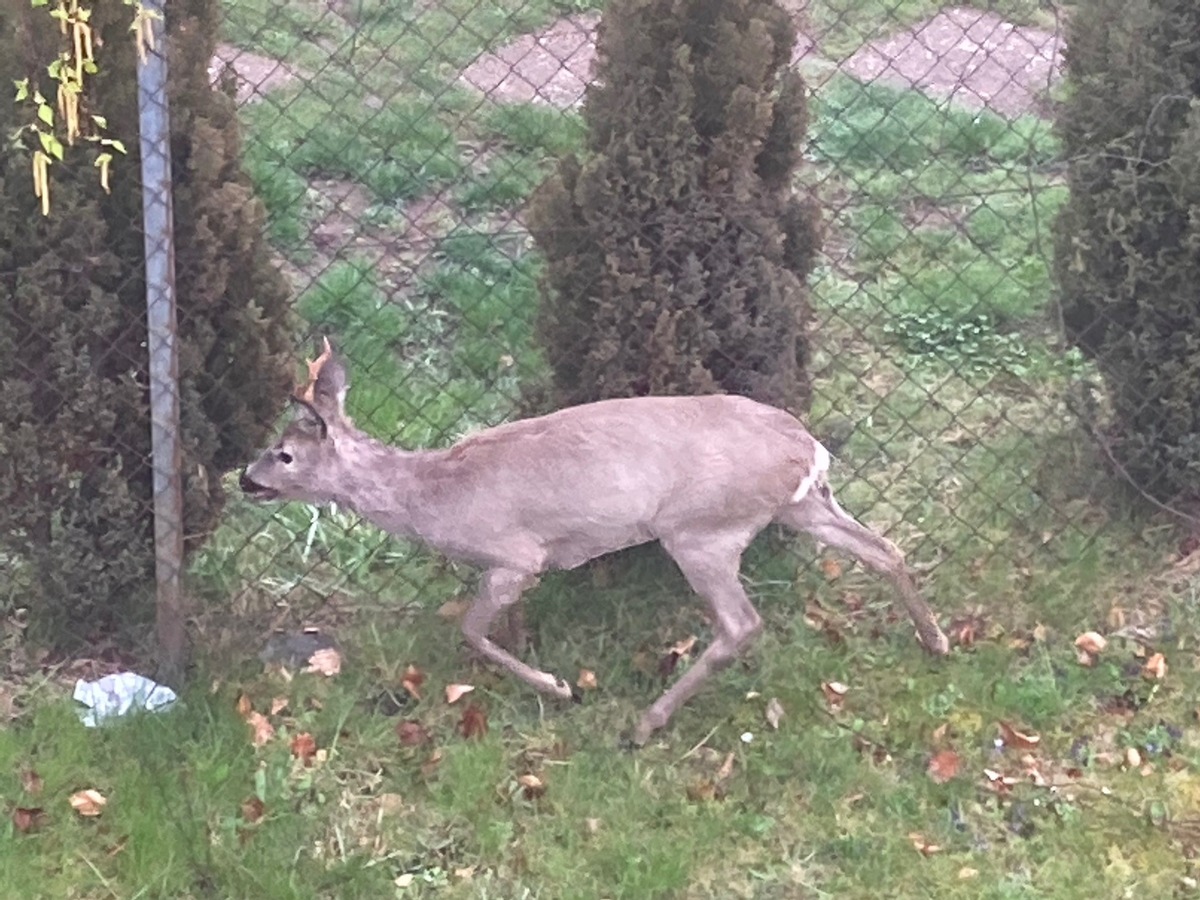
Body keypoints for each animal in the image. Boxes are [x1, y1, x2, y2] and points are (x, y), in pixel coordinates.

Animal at [236, 338, 945, 748]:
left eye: (285, 454)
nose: (245, 478)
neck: (434, 495)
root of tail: (808, 446)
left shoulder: (517, 553)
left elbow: (469, 630)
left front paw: (556, 687)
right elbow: (500, 627)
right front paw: (535, 661)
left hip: (701, 527)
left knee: (742, 624)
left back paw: (644, 725)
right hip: (802, 505)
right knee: (883, 548)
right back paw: (935, 641)